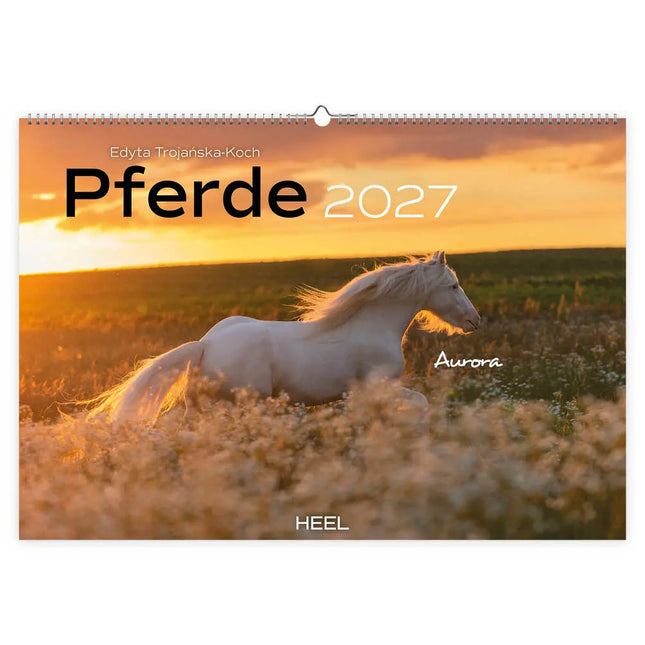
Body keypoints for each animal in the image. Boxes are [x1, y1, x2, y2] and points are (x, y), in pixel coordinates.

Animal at [89, 251, 481, 425]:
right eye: (454, 285)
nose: (474, 320)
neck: (372, 325)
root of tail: (205, 345)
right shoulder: (378, 385)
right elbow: (419, 401)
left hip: (203, 404)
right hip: (245, 400)